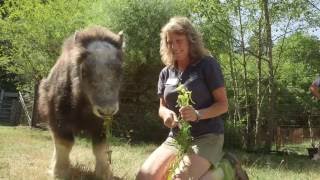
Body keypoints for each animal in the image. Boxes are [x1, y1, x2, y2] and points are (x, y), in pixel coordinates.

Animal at [37, 26, 122, 179]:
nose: (107, 110)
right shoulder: (59, 120)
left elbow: (100, 147)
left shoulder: (100, 124)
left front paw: (104, 173)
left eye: (120, 71)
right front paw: (59, 172)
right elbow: (64, 143)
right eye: (84, 71)